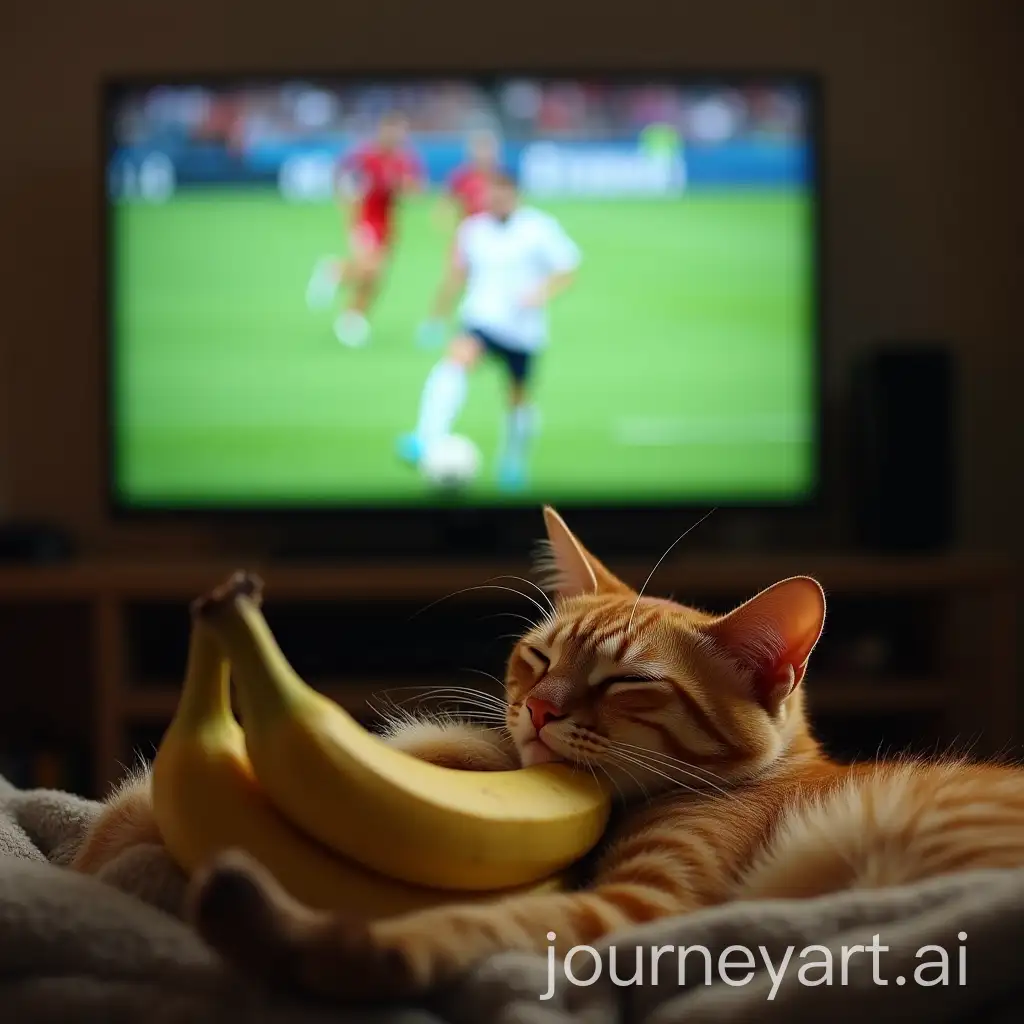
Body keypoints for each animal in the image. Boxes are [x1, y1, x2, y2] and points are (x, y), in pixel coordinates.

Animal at [70, 507, 1024, 1003]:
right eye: (538, 657)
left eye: (629, 683)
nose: (537, 707)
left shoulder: (643, 911)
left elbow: (462, 929)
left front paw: (307, 939)